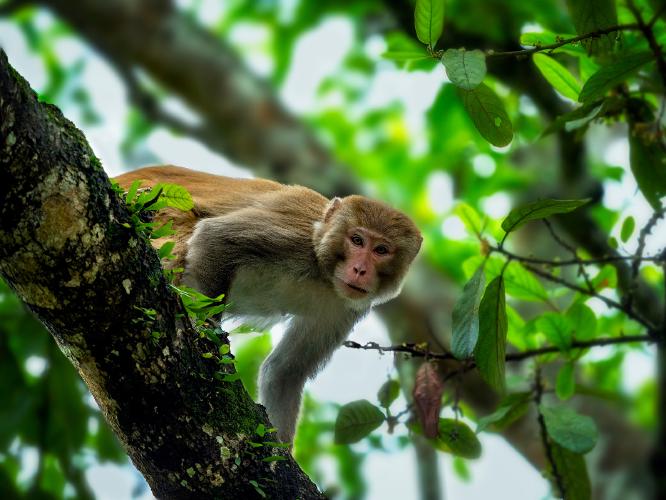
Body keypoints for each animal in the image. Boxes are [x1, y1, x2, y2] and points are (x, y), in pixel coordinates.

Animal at [114, 165, 422, 442]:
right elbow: (216, 238)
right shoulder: (293, 235)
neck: (322, 272)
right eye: (357, 240)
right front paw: (208, 341)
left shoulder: (343, 307)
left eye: (381, 250)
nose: (360, 269)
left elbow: (285, 373)